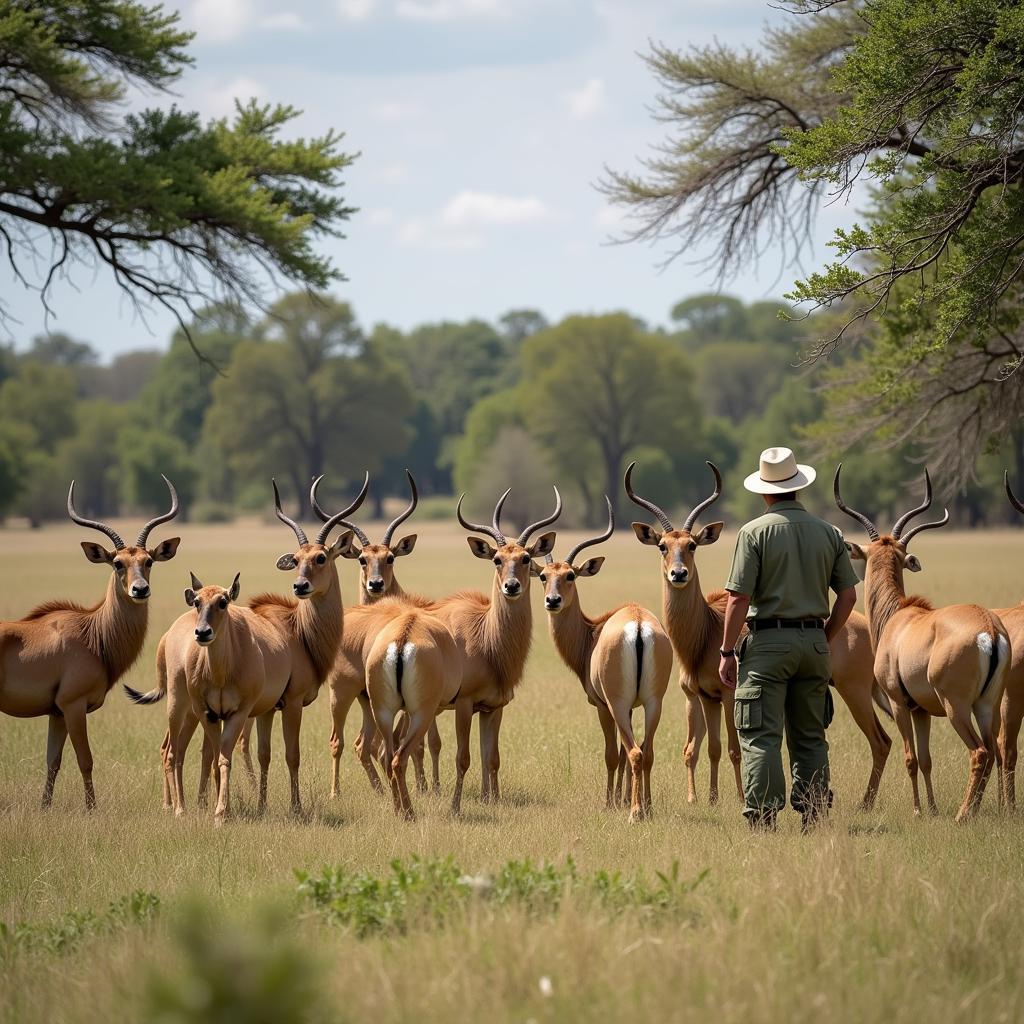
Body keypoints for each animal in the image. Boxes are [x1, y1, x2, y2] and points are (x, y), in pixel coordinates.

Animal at [0, 477, 180, 806]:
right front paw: (91, 809)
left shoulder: (56, 713)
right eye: (117, 563)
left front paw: (45, 807)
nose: (140, 590)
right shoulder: (73, 706)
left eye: (148, 560)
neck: (93, 634)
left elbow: (53, 761)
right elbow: (85, 760)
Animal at [536, 499, 671, 819]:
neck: (592, 634)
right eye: (544, 576)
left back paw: (635, 813)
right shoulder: (632, 706)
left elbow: (613, 755)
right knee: (646, 750)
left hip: (617, 705)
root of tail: (637, 624)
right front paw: (623, 798)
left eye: (570, 575)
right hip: (654, 702)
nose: (552, 601)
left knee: (635, 751)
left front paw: (610, 802)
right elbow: (622, 755)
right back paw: (646, 806)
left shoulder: (603, 705)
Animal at [622, 462, 888, 806]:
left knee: (880, 742)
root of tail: (869, 627)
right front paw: (705, 799)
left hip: (854, 691)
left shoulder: (728, 695)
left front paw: (737, 798)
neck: (705, 633)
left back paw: (866, 805)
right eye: (662, 546)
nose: (678, 574)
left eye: (691, 545)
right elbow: (701, 749)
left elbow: (734, 750)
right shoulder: (699, 696)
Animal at [835, 468, 1011, 819]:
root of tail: (988, 627)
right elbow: (927, 760)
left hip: (957, 708)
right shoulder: (921, 712)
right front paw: (931, 808)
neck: (897, 617)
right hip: (986, 705)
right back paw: (975, 810)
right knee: (994, 751)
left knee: (980, 752)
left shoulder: (899, 703)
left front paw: (917, 811)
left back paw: (962, 815)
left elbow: (910, 758)